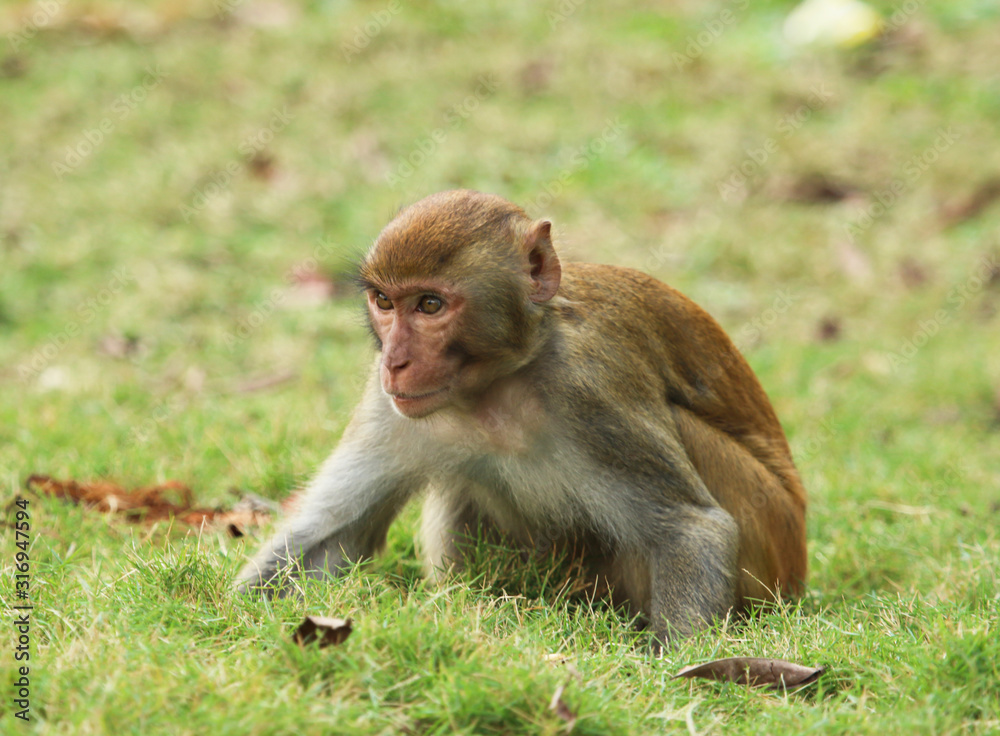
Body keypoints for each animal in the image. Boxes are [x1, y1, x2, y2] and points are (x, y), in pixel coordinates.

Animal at [235, 189, 807, 642]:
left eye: (429, 305)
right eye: (384, 301)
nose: (395, 361)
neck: (498, 383)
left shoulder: (592, 391)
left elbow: (692, 529)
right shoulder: (388, 405)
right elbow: (335, 536)